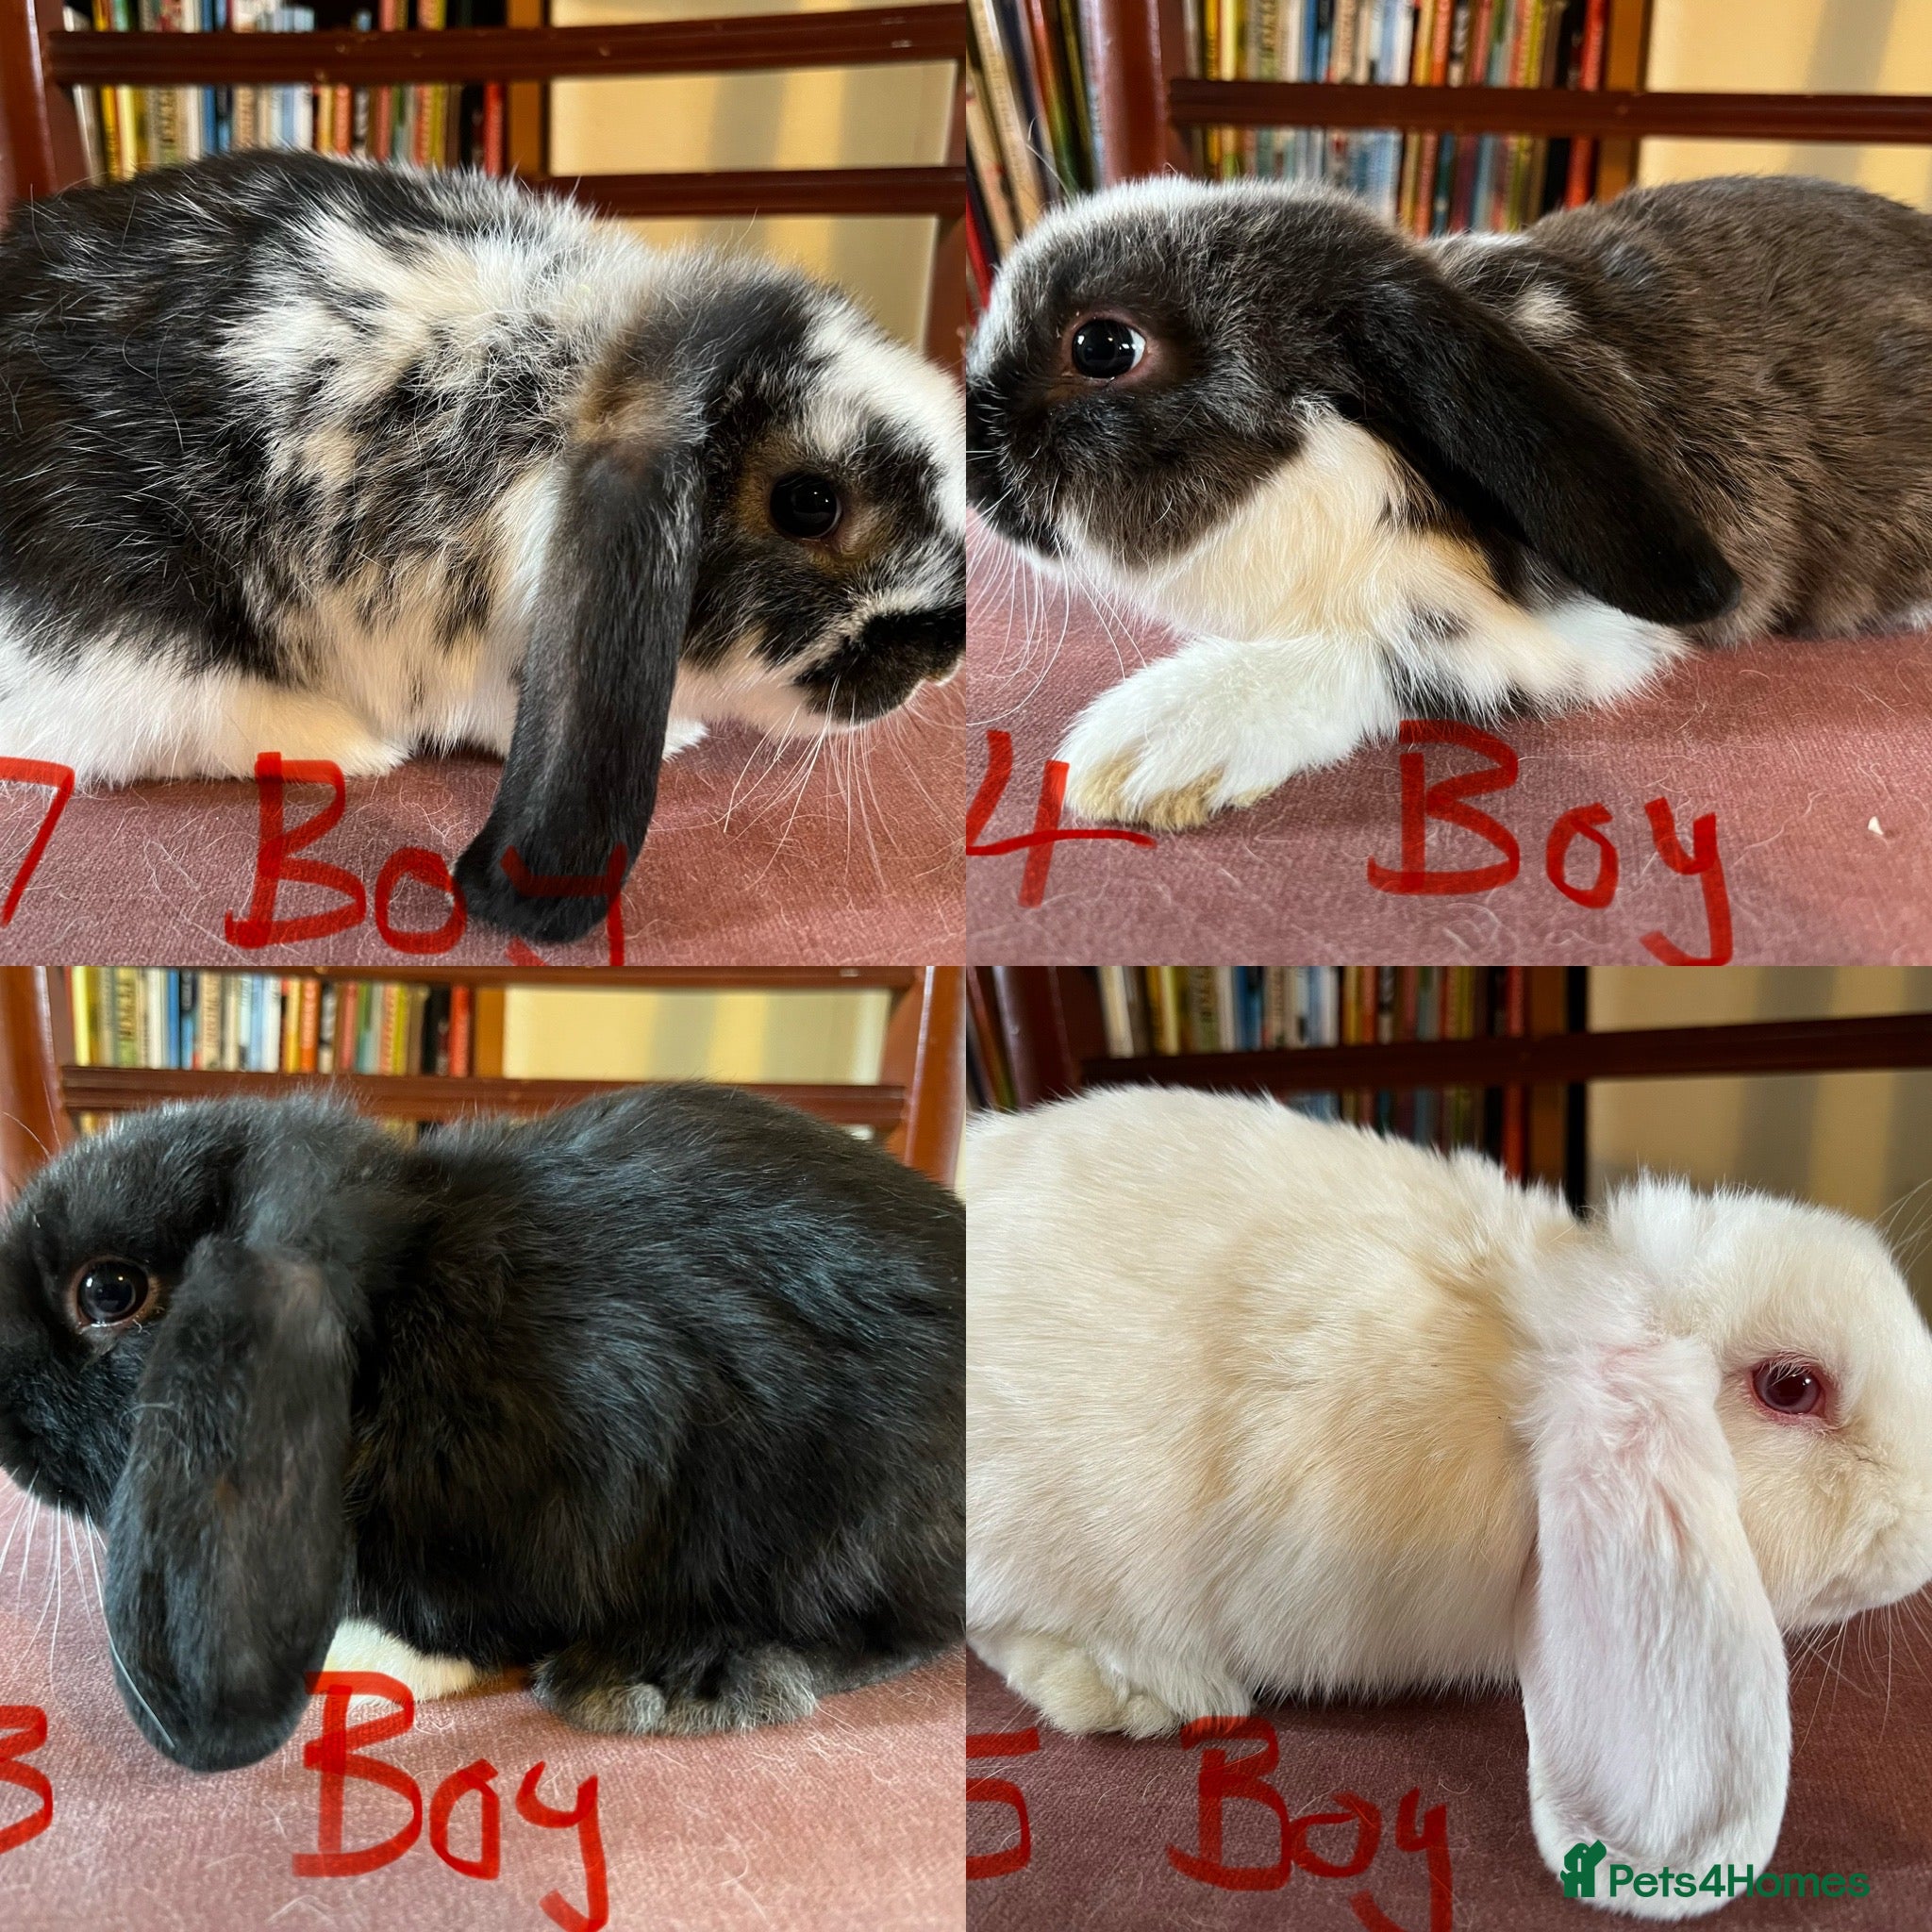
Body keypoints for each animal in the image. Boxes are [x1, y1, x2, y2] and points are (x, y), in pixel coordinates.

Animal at [0, 1083, 964, 1772]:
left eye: (109, 1291)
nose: (7, 1431)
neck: (388, 1341)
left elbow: (467, 1625)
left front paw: (363, 1661)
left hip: (858, 1517)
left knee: (885, 1629)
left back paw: (672, 1677)